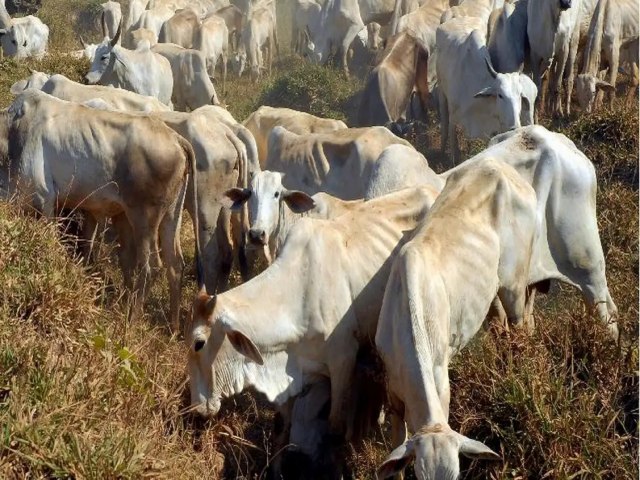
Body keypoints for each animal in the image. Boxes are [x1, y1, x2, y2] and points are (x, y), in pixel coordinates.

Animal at [6, 90, 199, 330]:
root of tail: (176, 139)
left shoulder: (44, 201)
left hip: (144, 217)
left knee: (151, 266)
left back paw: (132, 320)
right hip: (172, 215)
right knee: (175, 265)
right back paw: (173, 327)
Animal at [376, 158, 536, 480]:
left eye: (456, 473)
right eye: (420, 475)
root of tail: (499, 166)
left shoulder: (443, 384)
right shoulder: (393, 393)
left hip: (513, 283)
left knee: (521, 326)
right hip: (490, 289)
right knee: (500, 325)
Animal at [436, 16, 536, 163]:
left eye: (519, 95)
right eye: (500, 95)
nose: (514, 127)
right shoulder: (454, 119)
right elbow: (455, 150)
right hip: (441, 92)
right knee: (444, 124)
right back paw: (441, 152)